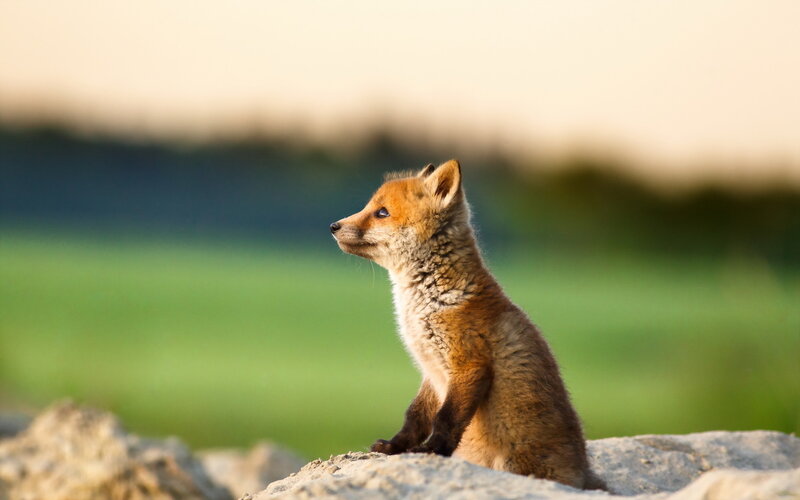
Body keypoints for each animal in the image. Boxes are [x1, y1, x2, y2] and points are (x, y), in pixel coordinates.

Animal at [329, 159, 605, 490]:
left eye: (381, 212)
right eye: (369, 207)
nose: (333, 226)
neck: (429, 303)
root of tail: (583, 474)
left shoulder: (469, 364)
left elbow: (446, 419)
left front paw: (433, 450)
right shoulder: (430, 371)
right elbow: (415, 416)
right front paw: (396, 447)